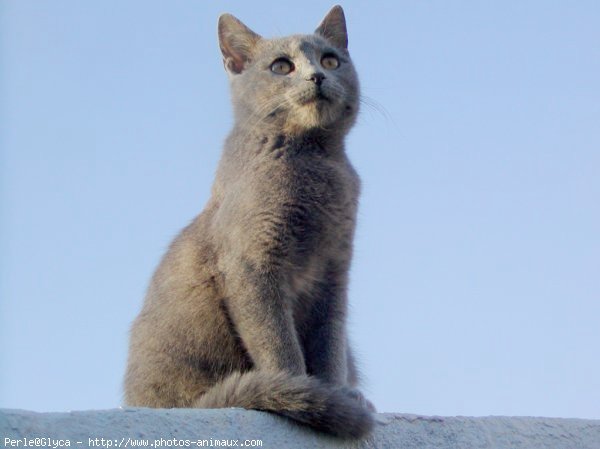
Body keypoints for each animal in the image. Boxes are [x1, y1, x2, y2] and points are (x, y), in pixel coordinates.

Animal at [123, 3, 372, 438]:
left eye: (330, 59)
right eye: (281, 66)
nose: (317, 75)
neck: (315, 161)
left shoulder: (333, 272)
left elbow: (330, 342)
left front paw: (337, 391)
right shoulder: (253, 265)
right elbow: (276, 339)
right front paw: (302, 390)